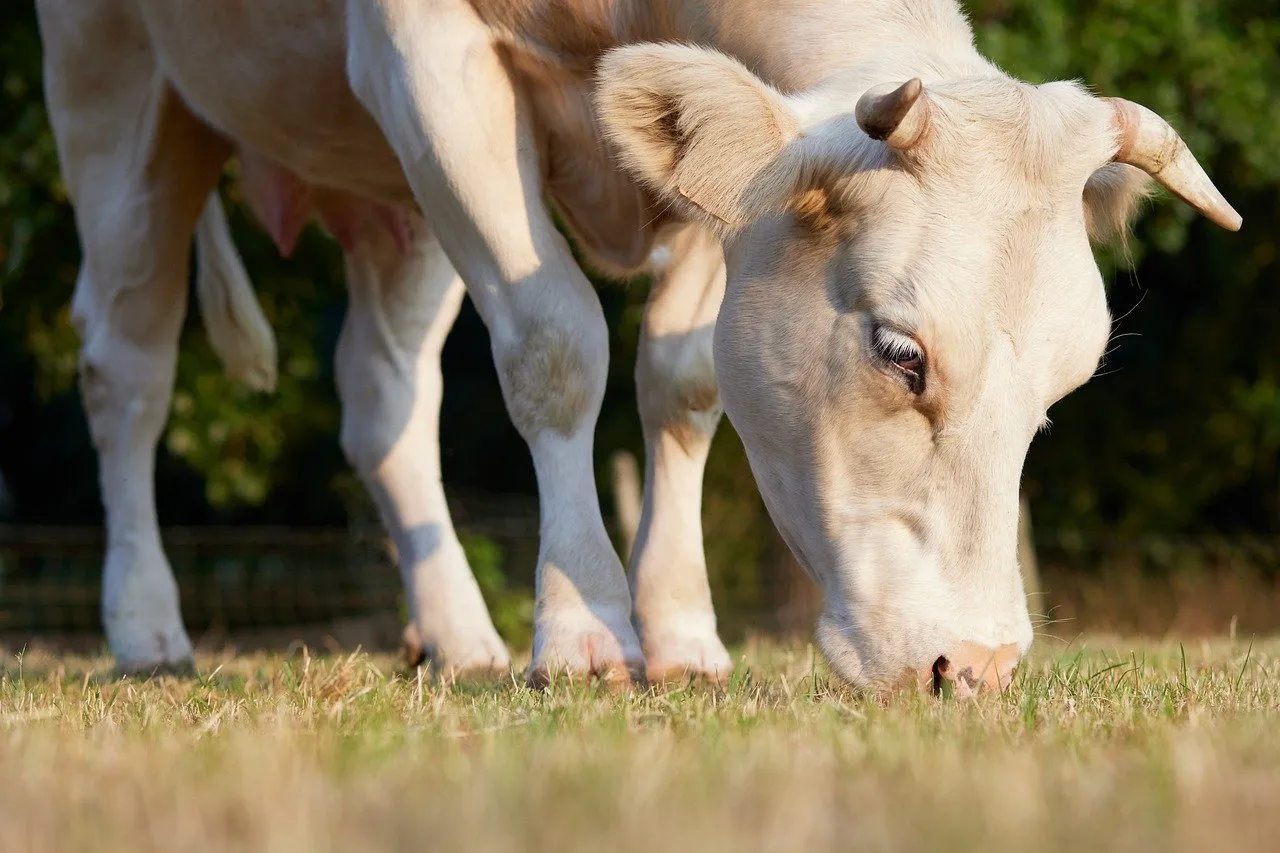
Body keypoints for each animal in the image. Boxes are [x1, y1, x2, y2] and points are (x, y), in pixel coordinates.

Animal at [35, 0, 1239, 692]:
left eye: (1058, 391)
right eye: (901, 352)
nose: (978, 665)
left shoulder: (724, 196)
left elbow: (682, 375)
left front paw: (681, 635)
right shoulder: (426, 56)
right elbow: (555, 345)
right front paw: (582, 631)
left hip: (396, 209)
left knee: (383, 399)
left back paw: (457, 636)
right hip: (115, 90)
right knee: (127, 368)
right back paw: (146, 628)